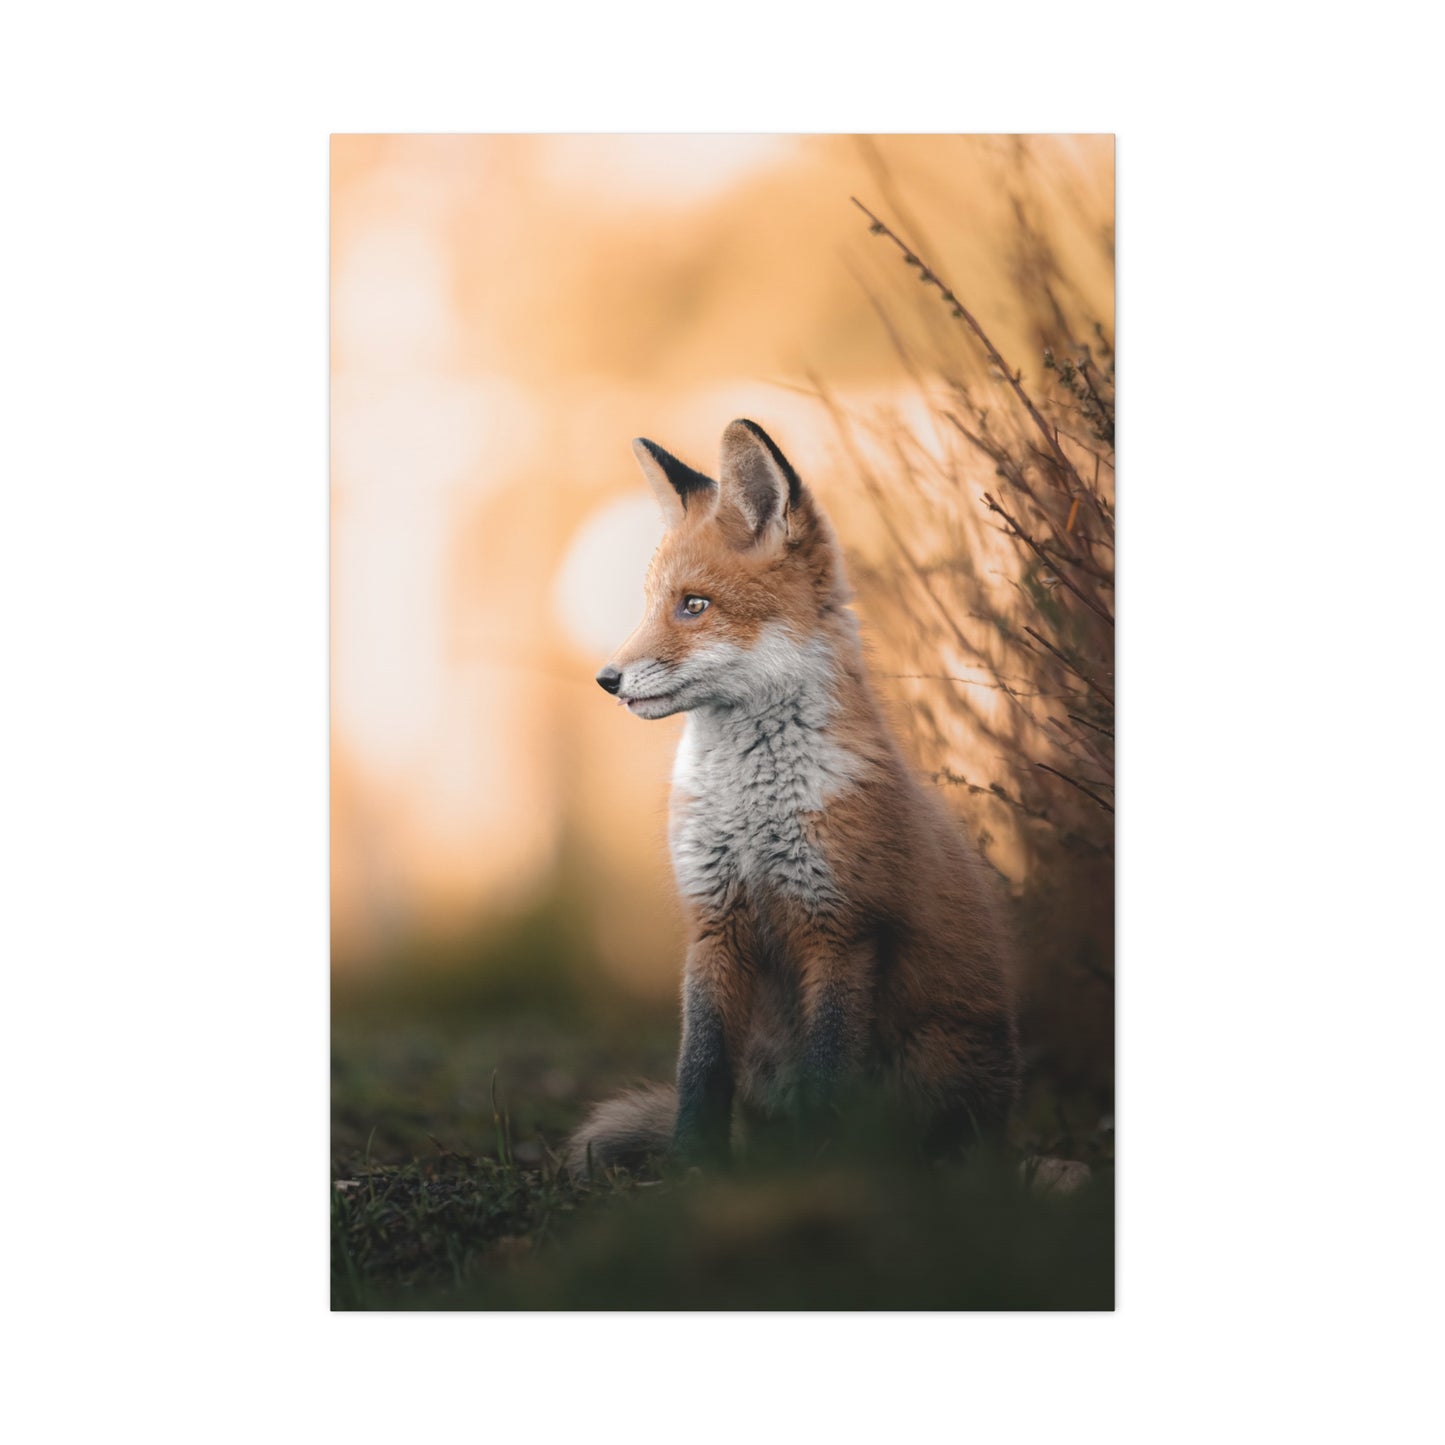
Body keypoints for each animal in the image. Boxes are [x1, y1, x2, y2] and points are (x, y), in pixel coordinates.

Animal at [565, 419, 1021, 1175]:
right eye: (651, 603)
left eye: (694, 605)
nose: (606, 679)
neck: (751, 810)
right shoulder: (713, 921)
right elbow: (699, 1067)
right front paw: (693, 1168)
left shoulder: (839, 926)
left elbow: (827, 1070)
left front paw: (816, 1167)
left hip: (938, 1060)